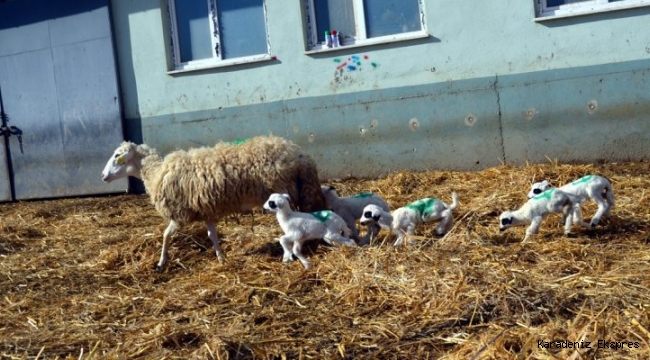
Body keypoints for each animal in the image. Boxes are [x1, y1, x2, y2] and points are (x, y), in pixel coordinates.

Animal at [100, 136, 326, 272]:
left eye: (117, 155)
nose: (102, 176)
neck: (155, 173)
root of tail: (300, 154)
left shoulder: (180, 214)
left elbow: (165, 235)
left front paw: (161, 263)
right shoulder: (205, 211)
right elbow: (212, 235)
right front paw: (221, 258)